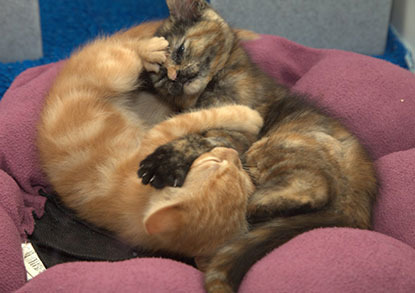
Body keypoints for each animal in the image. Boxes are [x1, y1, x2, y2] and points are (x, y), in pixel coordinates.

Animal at [139, 1, 376, 290]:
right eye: (161, 75)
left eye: (180, 50)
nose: (175, 76)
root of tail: (358, 209)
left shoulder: (238, 132)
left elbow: (195, 140)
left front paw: (162, 164)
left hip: (271, 144)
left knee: (314, 189)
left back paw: (251, 206)